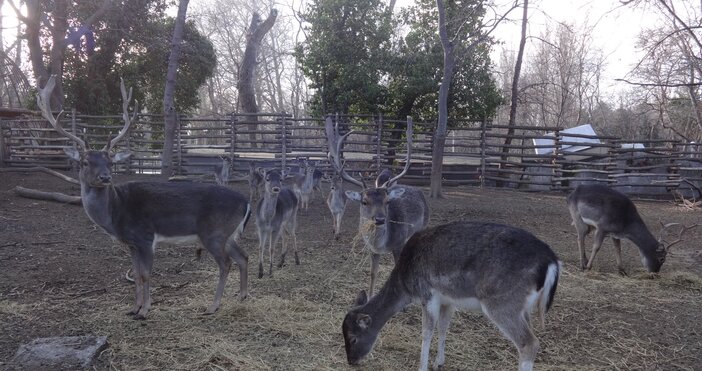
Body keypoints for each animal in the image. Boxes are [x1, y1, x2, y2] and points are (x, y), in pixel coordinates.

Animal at [38, 75, 252, 320]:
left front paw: (145, 310)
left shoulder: (145, 237)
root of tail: (246, 202)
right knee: (243, 256)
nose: (105, 177)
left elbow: (146, 274)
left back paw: (213, 306)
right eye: (84, 162)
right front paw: (134, 308)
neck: (116, 213)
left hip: (214, 233)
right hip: (229, 234)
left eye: (110, 162)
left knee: (226, 263)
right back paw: (242, 296)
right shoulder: (131, 243)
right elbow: (137, 274)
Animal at [324, 116, 428, 296]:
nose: (379, 219)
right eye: (364, 201)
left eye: (387, 201)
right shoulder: (371, 250)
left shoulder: (398, 244)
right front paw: (370, 295)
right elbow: (373, 273)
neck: (382, 244)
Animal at [344, 221, 564, 371]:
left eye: (353, 338)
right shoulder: (448, 301)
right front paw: (438, 363)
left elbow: (426, 332)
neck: (406, 285)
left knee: (529, 343)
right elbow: (443, 328)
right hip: (523, 307)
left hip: (502, 303)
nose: (351, 361)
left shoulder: (428, 294)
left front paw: (422, 367)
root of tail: (552, 261)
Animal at [572, 184, 700, 274]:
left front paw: (622, 271)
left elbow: (618, 249)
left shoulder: (615, 233)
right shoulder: (602, 227)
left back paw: (584, 261)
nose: (655, 273)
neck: (625, 223)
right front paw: (589, 267)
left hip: (589, 226)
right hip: (577, 216)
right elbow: (596, 247)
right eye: (662, 258)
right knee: (580, 237)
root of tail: (572, 192)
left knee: (582, 237)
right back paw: (582, 265)